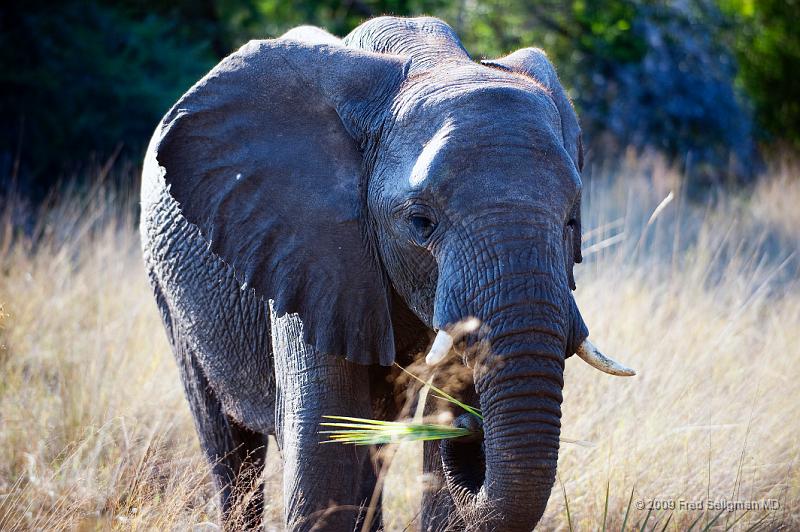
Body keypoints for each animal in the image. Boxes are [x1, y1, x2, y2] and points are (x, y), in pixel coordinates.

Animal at [141, 14, 636, 528]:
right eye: (421, 222)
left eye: (572, 222)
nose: (467, 423)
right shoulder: (309, 251)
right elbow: (323, 459)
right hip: (170, 289)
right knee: (231, 452)